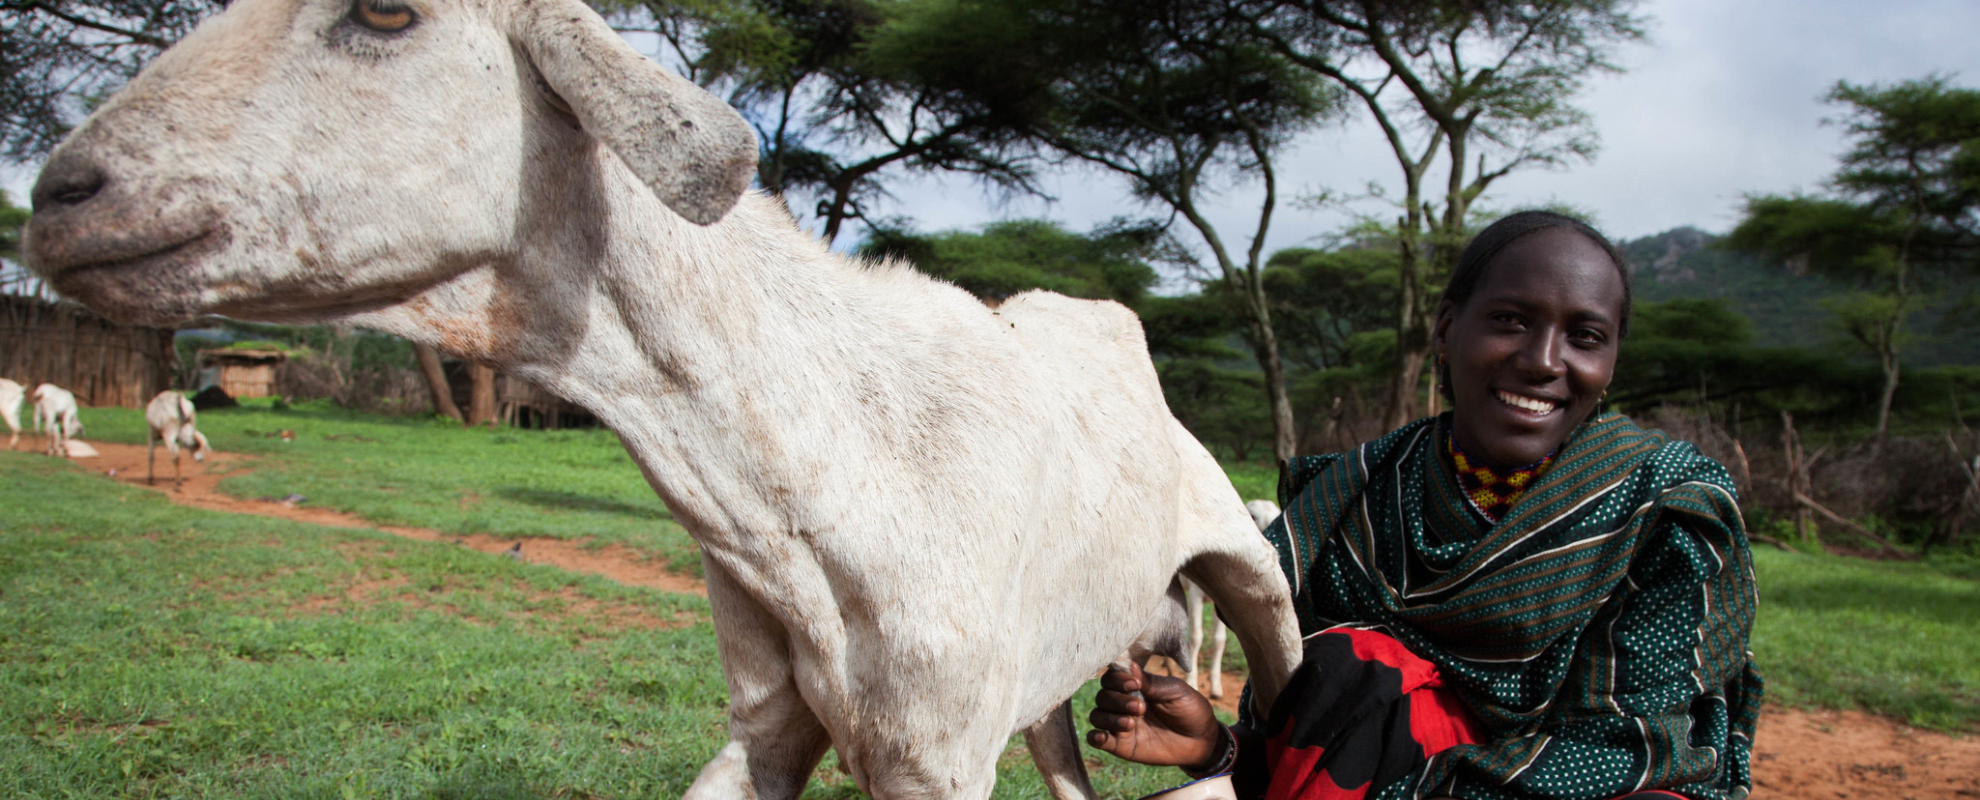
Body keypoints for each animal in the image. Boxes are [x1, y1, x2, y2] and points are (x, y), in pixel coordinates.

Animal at [20, 0, 1302, 798]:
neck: (826, 458)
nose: (57, 195)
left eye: (387, 13)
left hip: (1251, 569)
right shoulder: (772, 727)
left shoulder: (935, 749)